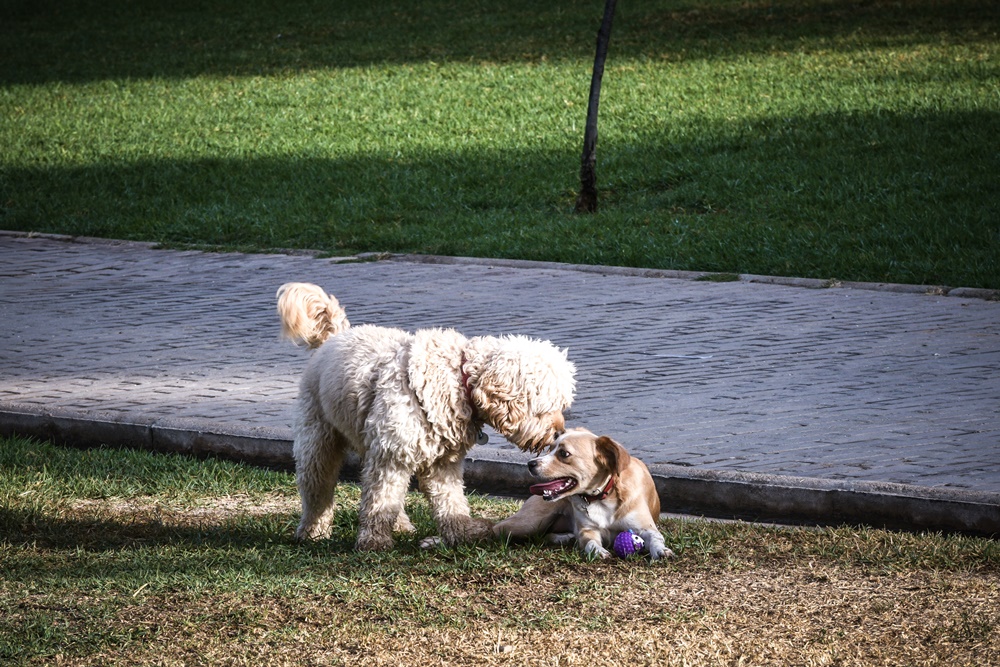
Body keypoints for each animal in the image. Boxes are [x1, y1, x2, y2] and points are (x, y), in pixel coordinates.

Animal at [278, 284, 576, 552]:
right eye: (545, 406)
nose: (558, 433)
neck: (458, 379)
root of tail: (335, 337)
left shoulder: (442, 462)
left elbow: (449, 500)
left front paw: (462, 532)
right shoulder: (391, 456)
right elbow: (380, 501)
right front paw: (374, 542)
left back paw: (400, 526)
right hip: (318, 442)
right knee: (318, 490)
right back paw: (312, 532)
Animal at [492, 430, 672, 560]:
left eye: (564, 453)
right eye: (550, 449)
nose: (530, 464)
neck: (604, 496)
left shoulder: (646, 527)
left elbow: (656, 537)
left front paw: (661, 550)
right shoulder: (588, 530)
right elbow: (590, 542)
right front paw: (598, 550)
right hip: (531, 522)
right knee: (501, 530)